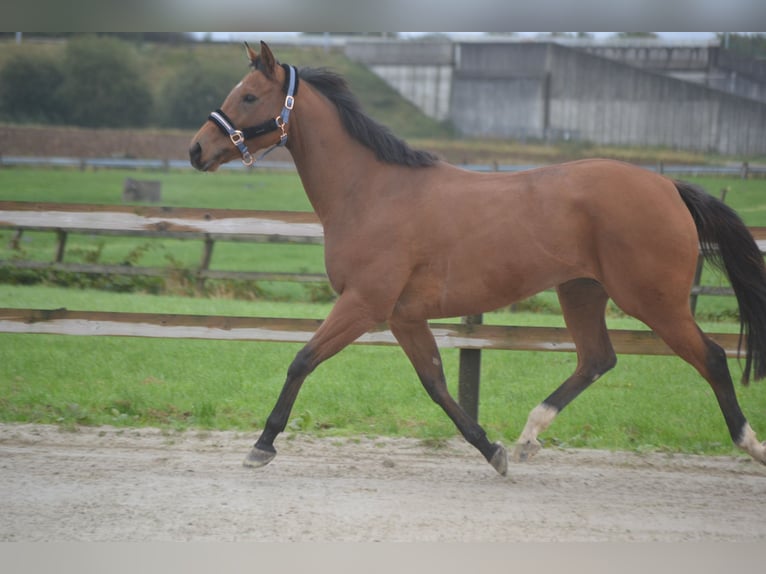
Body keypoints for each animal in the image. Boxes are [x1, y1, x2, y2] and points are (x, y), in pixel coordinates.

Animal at [190, 42, 766, 476]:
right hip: (581, 291)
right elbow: (437, 385)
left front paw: (262, 445)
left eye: (249, 95)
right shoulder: (404, 316)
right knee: (597, 359)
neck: (371, 190)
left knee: (712, 358)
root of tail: (668, 186)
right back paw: (528, 437)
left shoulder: (364, 304)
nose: (196, 150)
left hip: (653, 300)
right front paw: (493, 450)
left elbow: (302, 360)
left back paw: (750, 444)